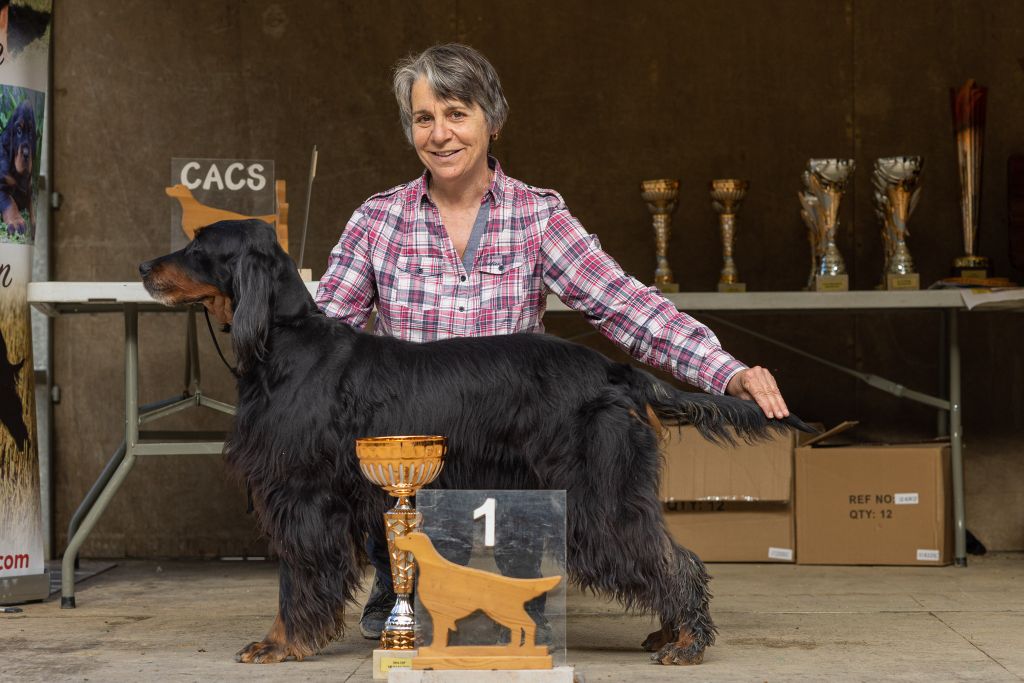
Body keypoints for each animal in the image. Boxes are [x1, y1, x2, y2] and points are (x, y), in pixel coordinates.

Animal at [142, 222, 806, 663]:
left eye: (198, 248)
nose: (145, 267)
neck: (284, 342)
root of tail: (620, 372)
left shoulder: (302, 495)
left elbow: (295, 581)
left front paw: (279, 644)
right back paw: (670, 632)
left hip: (599, 495)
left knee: (670, 557)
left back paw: (686, 641)